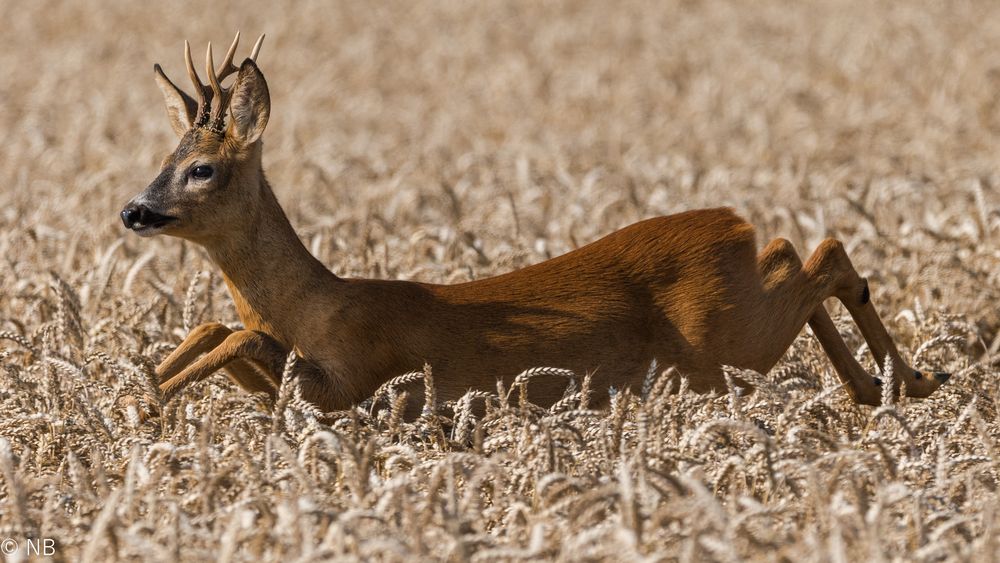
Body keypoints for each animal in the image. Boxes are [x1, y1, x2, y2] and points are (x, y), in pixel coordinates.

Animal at [121, 34, 948, 414]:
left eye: (202, 168)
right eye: (164, 156)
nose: (134, 209)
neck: (314, 303)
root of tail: (729, 222)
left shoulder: (362, 378)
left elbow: (241, 335)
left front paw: (150, 400)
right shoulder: (313, 388)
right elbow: (222, 330)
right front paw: (141, 385)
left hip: (728, 336)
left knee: (827, 254)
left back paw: (910, 378)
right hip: (731, 323)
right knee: (791, 249)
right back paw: (882, 386)